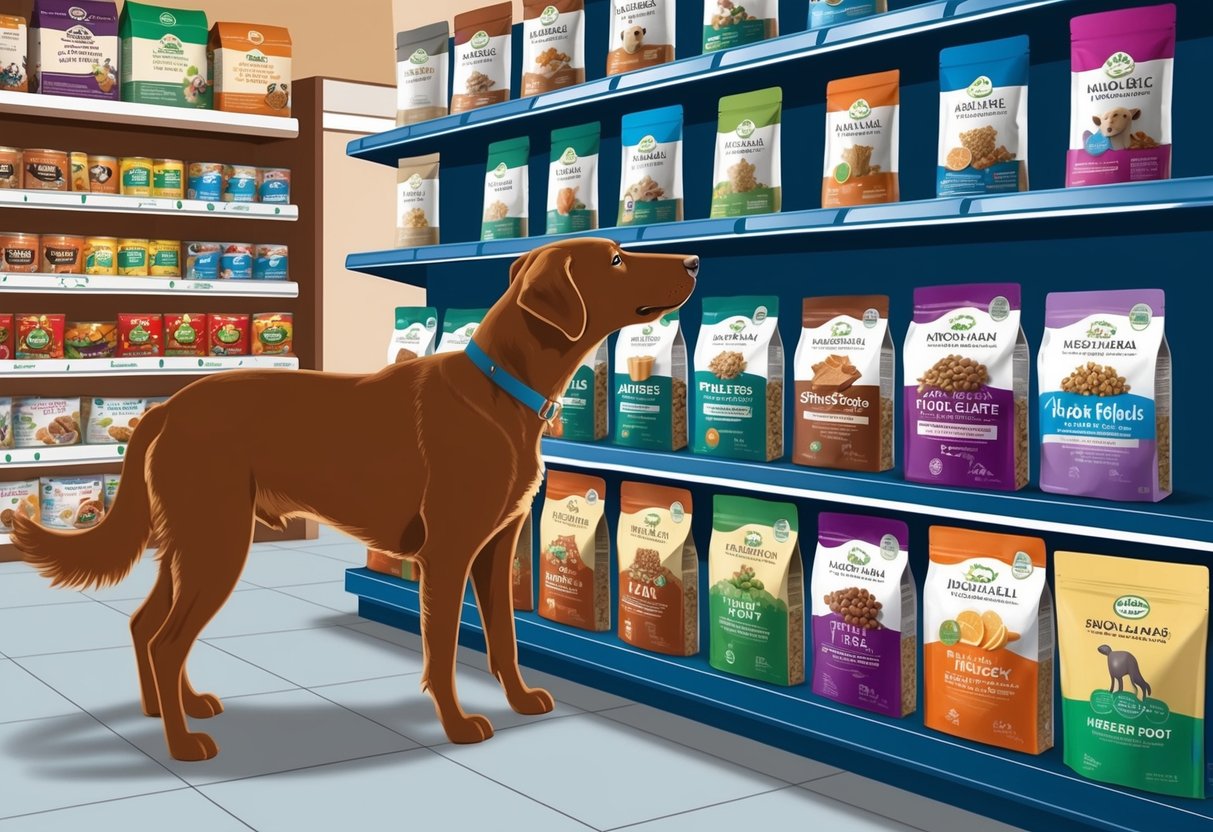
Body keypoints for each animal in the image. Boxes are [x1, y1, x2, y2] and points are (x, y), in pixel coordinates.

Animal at [9, 240, 698, 761]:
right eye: (615, 259)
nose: (693, 261)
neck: (501, 387)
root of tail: (167, 408)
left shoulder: (496, 549)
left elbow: (503, 637)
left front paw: (522, 700)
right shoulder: (448, 555)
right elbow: (443, 652)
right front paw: (457, 725)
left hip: (192, 542)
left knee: (146, 624)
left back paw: (166, 709)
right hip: (217, 543)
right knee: (165, 639)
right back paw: (182, 743)